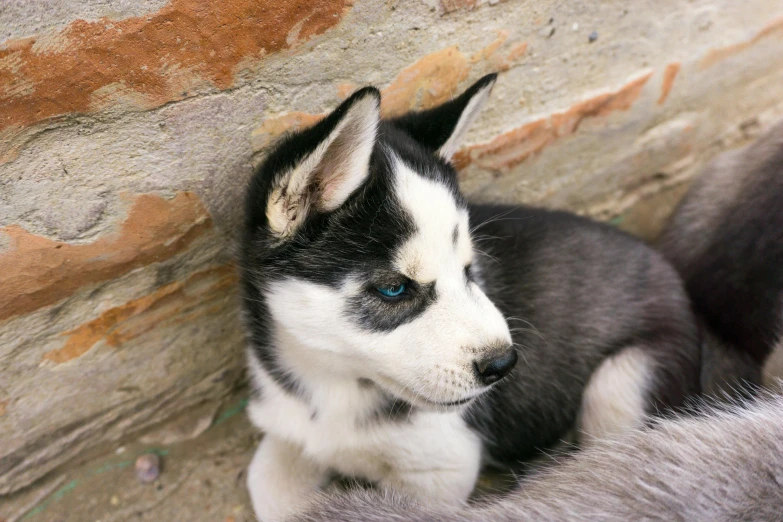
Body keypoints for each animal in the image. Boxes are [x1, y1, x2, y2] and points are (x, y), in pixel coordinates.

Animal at [239, 75, 700, 516]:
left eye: (468, 270)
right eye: (394, 288)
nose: (504, 364)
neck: (334, 384)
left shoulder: (442, 465)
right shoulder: (289, 424)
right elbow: (266, 485)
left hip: (621, 382)